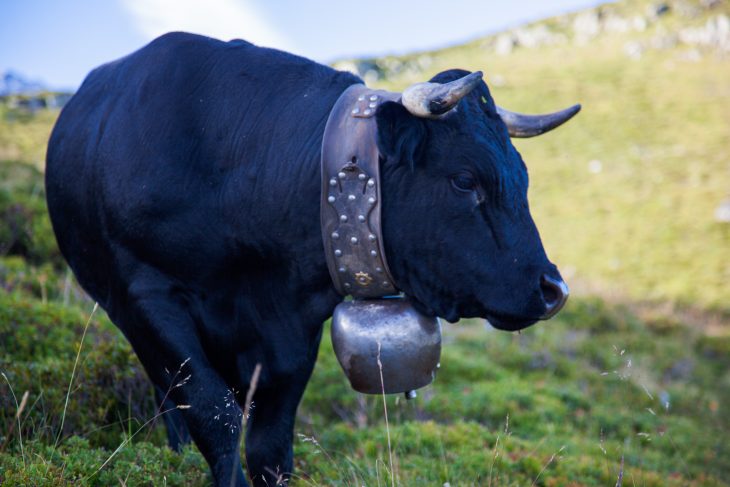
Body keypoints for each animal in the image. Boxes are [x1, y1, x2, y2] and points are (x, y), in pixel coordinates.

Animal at [45, 32, 576, 486]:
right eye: (465, 180)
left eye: (523, 176)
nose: (554, 289)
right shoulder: (147, 297)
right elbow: (214, 414)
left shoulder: (293, 330)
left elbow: (271, 444)